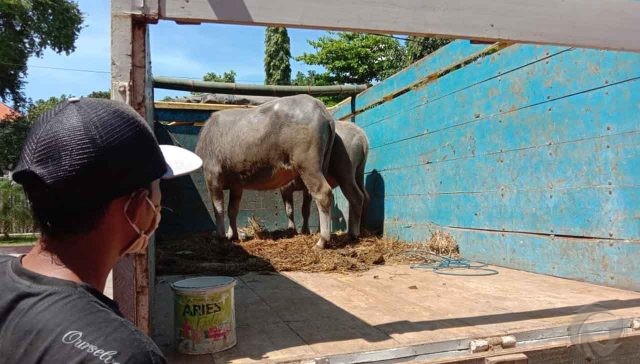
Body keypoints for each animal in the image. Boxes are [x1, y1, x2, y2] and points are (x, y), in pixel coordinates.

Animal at [194, 94, 336, 247]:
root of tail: (320, 107)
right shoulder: (236, 184)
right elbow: (232, 210)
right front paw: (233, 235)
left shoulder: (212, 175)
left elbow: (218, 208)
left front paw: (220, 236)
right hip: (321, 164)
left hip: (308, 164)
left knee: (323, 193)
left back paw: (322, 240)